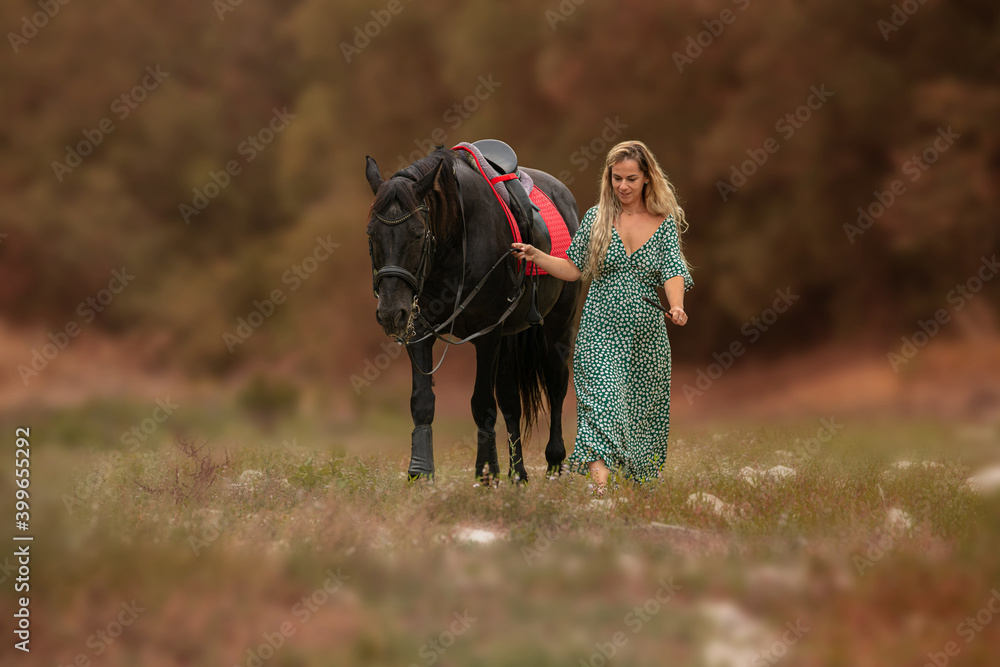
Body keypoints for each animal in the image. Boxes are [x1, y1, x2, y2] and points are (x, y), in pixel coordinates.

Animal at [364, 146, 581, 483]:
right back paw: (518, 474)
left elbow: (482, 405)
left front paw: (486, 473)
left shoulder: (487, 335)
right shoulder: (421, 333)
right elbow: (423, 402)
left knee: (556, 385)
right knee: (511, 401)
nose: (390, 313)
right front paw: (421, 472)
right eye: (371, 234)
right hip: (509, 336)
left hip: (558, 324)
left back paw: (554, 465)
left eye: (417, 234)